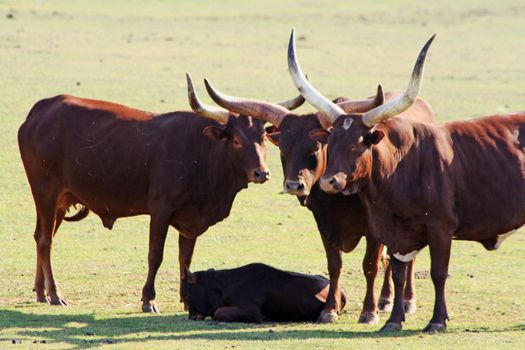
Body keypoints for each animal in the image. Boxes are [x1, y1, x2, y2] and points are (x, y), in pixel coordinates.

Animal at [17, 78, 302, 314]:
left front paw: (187, 299)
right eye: (236, 140)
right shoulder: (161, 209)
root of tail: (43, 109)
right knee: (45, 240)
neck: (204, 152)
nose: (261, 173)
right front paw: (148, 300)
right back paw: (55, 294)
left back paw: (41, 291)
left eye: (263, 137)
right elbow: (156, 255)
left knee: (42, 236)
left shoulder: (191, 220)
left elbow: (185, 258)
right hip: (45, 192)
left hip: (60, 201)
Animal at [198, 47, 434, 324]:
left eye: (316, 148)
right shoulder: (325, 225)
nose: (294, 185)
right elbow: (335, 265)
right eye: (283, 150)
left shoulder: (374, 229)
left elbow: (371, 265)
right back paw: (387, 299)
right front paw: (329, 310)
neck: (341, 198)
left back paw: (406, 301)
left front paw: (369, 312)